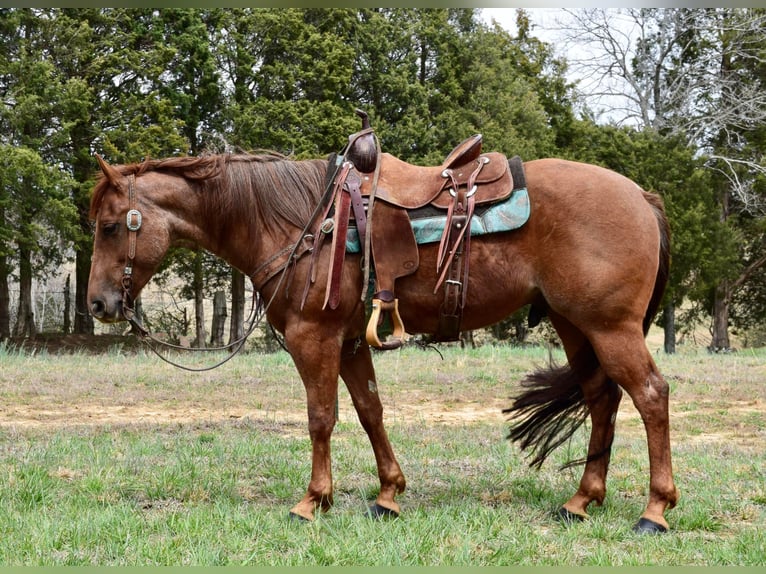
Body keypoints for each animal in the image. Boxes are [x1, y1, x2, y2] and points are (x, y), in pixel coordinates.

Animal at [87, 141, 680, 536]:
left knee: (650, 396)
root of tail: (640, 194)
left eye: (111, 226)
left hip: (610, 328)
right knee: (602, 398)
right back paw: (581, 500)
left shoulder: (314, 338)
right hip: (575, 325)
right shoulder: (350, 344)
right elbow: (371, 411)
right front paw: (388, 494)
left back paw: (654, 510)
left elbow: (321, 418)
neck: (300, 224)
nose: (98, 304)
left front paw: (313, 500)